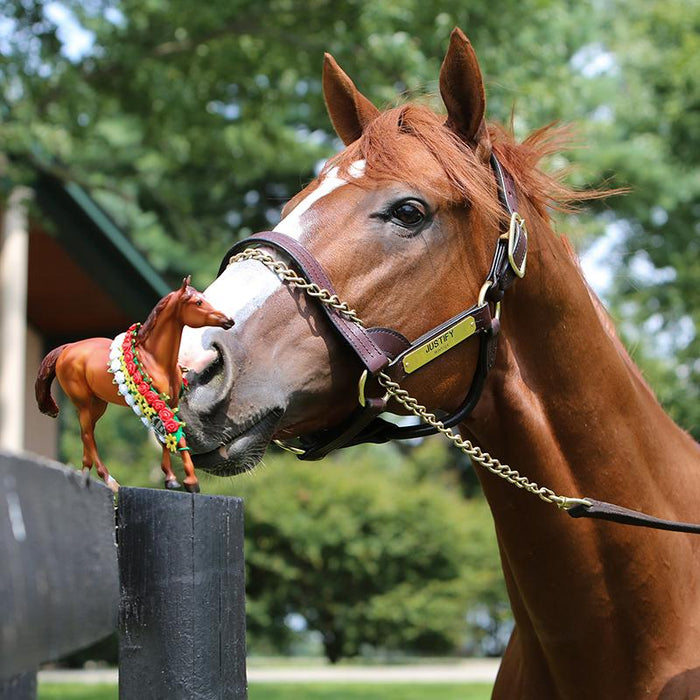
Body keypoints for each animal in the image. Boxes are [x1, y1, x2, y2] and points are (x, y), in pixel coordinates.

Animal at [36, 276, 232, 494]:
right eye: (198, 302)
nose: (228, 320)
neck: (154, 359)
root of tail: (67, 348)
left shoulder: (169, 404)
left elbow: (169, 438)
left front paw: (173, 479)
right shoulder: (158, 403)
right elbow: (171, 436)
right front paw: (188, 481)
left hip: (97, 405)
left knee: (86, 435)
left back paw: (85, 472)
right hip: (84, 403)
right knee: (88, 436)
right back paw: (109, 480)